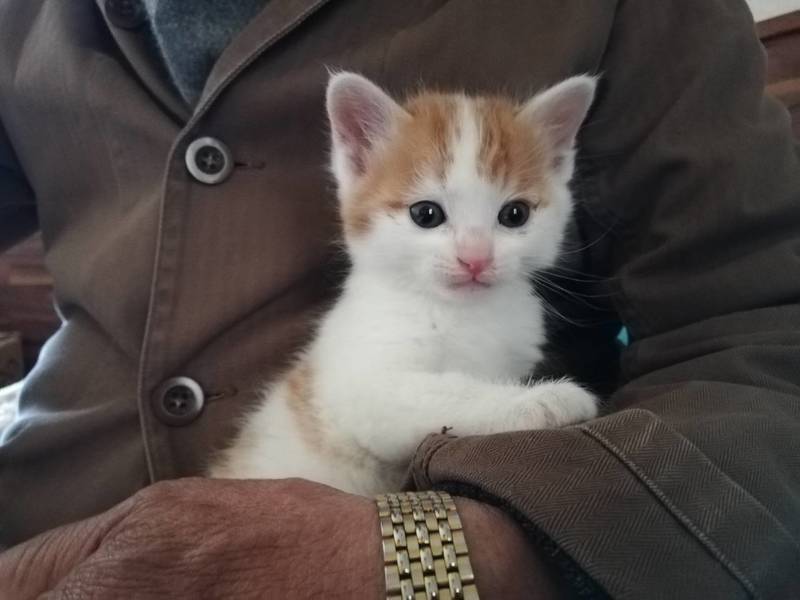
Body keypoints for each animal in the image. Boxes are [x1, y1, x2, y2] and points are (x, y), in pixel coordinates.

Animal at [209, 71, 600, 495]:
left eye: (515, 214)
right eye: (426, 214)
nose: (475, 258)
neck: (464, 314)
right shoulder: (368, 385)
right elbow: (451, 392)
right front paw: (545, 400)